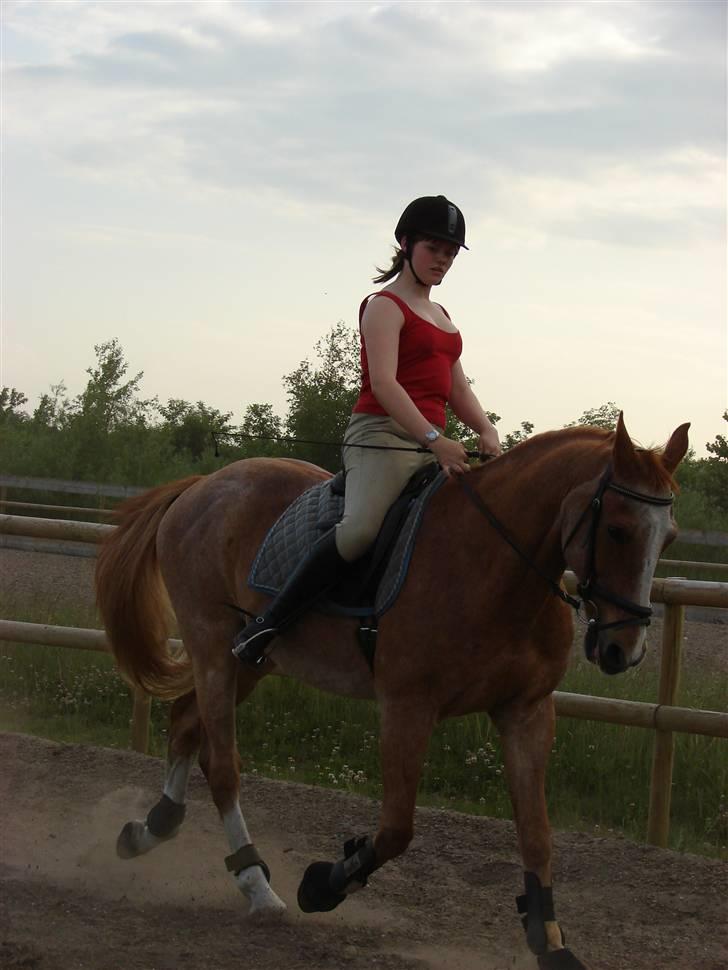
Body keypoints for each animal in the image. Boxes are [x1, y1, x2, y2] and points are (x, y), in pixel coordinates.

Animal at [96, 416, 688, 968]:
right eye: (618, 531)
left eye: (669, 537)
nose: (623, 650)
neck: (493, 565)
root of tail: (202, 486)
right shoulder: (407, 708)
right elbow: (398, 828)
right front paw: (322, 885)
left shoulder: (527, 713)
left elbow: (538, 835)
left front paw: (551, 943)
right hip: (214, 646)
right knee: (222, 764)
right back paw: (256, 885)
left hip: (251, 662)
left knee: (184, 725)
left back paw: (150, 829)